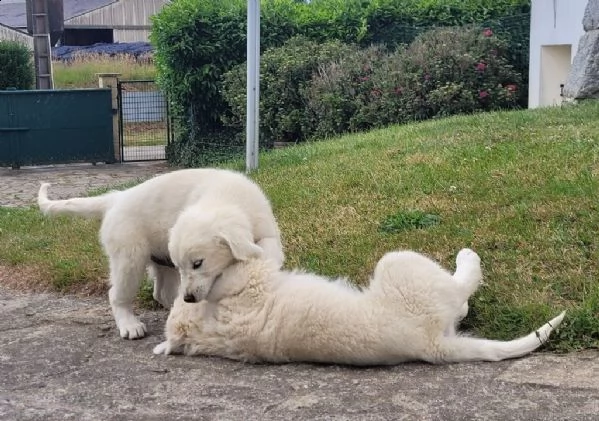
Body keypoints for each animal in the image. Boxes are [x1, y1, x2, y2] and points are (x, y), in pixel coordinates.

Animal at [38, 167, 286, 338]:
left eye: (198, 263)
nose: (189, 298)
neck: (226, 197)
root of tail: (116, 198)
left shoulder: (266, 227)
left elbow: (268, 247)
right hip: (130, 256)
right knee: (117, 294)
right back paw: (130, 325)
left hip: (161, 262)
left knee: (161, 294)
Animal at [152, 212, 564, 362]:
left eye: (193, 266)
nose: (188, 296)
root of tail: (431, 345)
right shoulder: (251, 277)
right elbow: (250, 255)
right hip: (400, 265)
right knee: (460, 292)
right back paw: (467, 258)